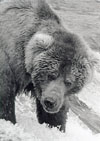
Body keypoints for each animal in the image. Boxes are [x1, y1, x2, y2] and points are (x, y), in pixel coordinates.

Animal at [0, 0, 93, 132]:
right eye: (50, 75)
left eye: (69, 82)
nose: (50, 101)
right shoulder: (9, 62)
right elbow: (5, 98)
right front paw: (10, 120)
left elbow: (55, 115)